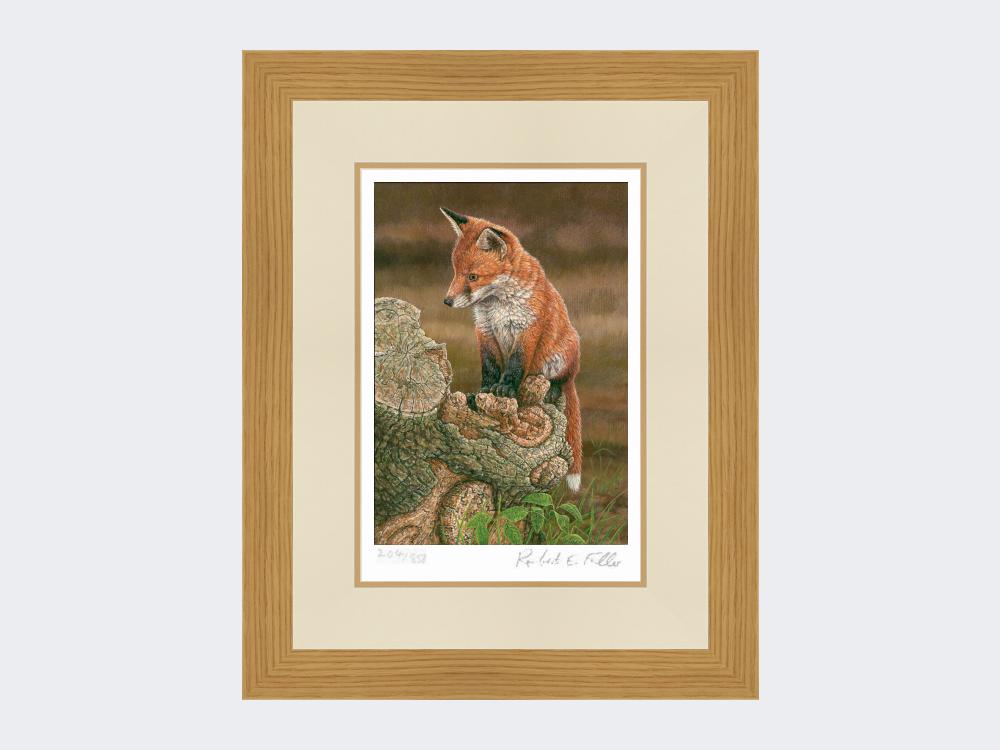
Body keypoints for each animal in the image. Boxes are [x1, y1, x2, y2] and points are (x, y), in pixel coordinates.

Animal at [440, 207, 582, 493]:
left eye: (473, 277)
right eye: (456, 272)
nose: (447, 301)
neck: (497, 305)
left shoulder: (526, 329)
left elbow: (516, 365)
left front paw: (506, 389)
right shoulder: (484, 330)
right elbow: (490, 366)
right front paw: (484, 391)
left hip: (562, 356)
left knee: (562, 381)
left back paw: (553, 389)